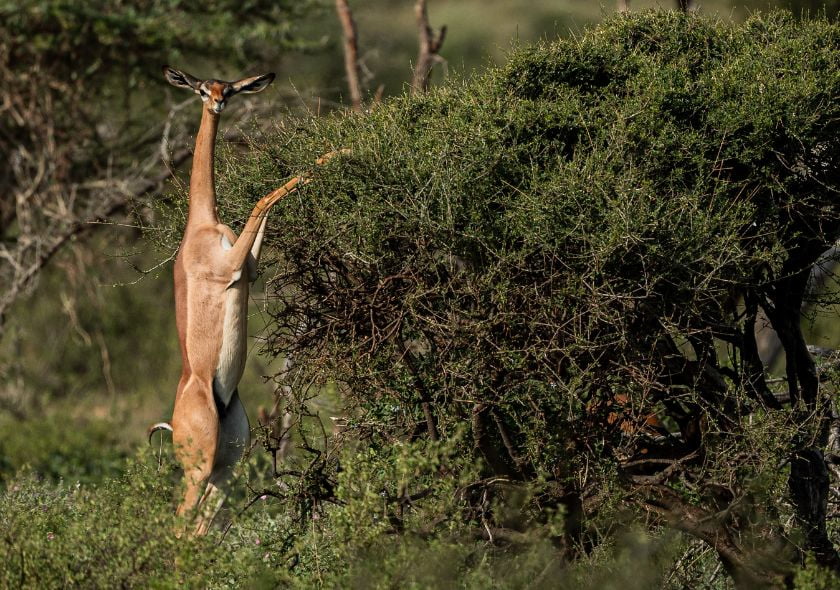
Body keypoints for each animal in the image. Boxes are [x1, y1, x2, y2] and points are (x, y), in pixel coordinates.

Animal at [151, 67, 338, 540]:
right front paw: (336, 154)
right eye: (202, 89)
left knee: (201, 526)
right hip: (199, 469)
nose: (217, 103)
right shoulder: (231, 267)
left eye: (230, 88)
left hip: (226, 467)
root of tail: (174, 421)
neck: (200, 225)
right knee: (180, 525)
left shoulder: (247, 269)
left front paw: (331, 155)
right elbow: (262, 198)